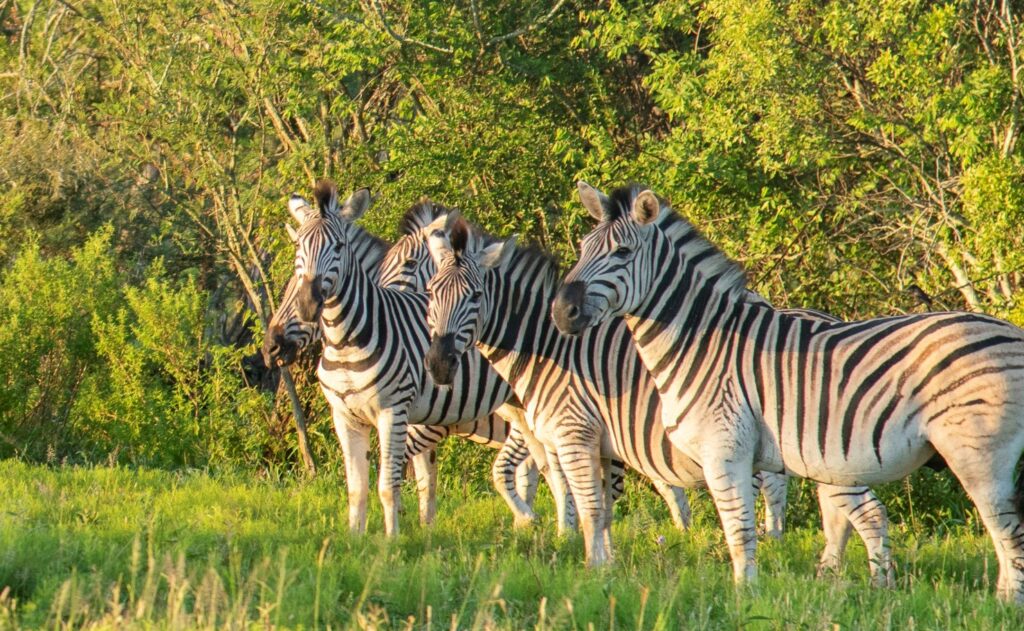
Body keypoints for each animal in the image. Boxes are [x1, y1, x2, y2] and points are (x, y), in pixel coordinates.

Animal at [264, 180, 571, 536]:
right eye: (298, 250)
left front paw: (394, 538)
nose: (270, 346)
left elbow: (391, 480)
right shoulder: (348, 416)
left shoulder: (405, 416)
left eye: (338, 246)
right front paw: (373, 538)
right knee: (547, 467)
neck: (346, 343)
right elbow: (370, 485)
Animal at [419, 218, 890, 579]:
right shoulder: (597, 443)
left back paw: (873, 588)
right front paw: (605, 565)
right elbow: (601, 508)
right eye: (430, 294)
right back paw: (828, 579)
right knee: (837, 514)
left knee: (864, 513)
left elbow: (587, 504)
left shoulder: (575, 434)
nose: (438, 364)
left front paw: (592, 570)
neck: (549, 344)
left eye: (475, 296)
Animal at [553, 182, 1024, 601]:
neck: (701, 342)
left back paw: (1005, 604)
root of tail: (1012, 332)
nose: (561, 311)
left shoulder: (726, 451)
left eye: (622, 253)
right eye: (582, 247)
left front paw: (745, 596)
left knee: (1007, 531)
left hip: (977, 453)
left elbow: (739, 531)